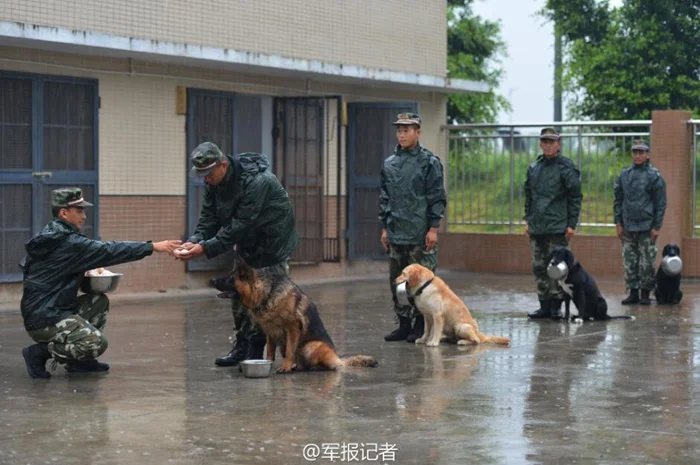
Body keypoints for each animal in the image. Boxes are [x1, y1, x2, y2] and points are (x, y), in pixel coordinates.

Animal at [217, 256, 378, 372]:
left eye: (230, 279)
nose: (212, 280)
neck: (267, 294)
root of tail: (338, 358)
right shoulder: (270, 331)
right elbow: (269, 351)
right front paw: (269, 363)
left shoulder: (292, 328)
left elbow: (290, 350)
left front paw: (286, 367)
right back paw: (297, 366)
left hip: (311, 346)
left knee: (329, 365)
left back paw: (312, 367)